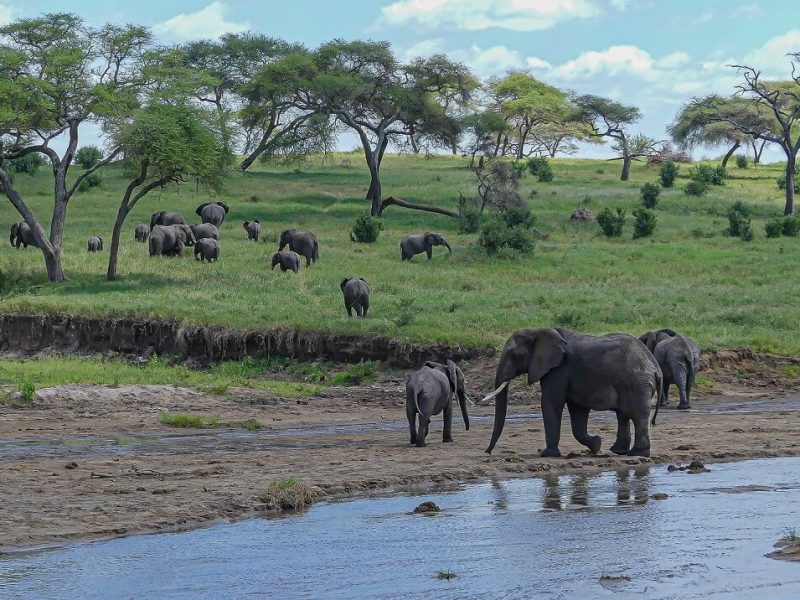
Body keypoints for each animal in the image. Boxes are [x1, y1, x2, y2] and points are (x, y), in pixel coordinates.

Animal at [482, 328, 662, 458]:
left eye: (513, 354)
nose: (487, 452)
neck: (537, 330)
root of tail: (655, 366)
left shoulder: (559, 369)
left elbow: (551, 403)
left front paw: (547, 455)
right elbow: (578, 410)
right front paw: (596, 445)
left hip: (637, 383)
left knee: (637, 415)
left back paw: (637, 454)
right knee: (623, 415)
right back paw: (619, 451)